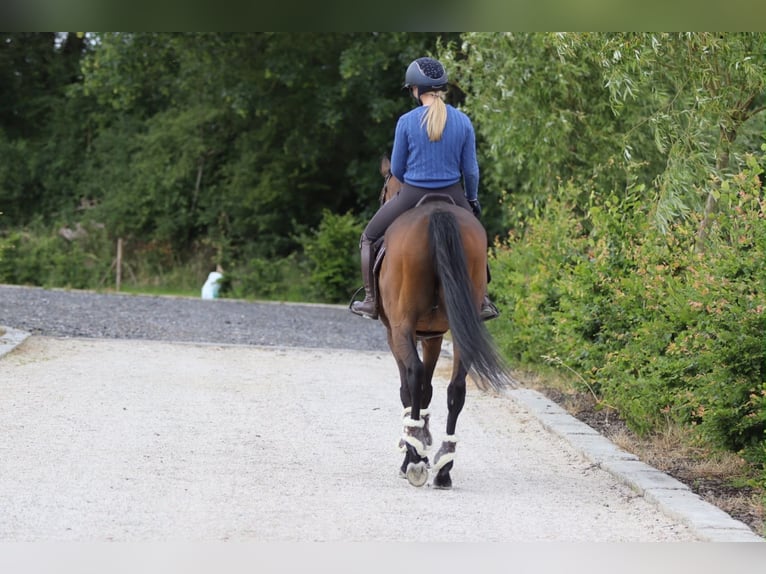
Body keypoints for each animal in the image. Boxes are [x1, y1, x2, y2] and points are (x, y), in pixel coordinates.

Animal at [374, 156, 513, 489]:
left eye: (384, 192)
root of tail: (437, 212)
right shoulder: (434, 335)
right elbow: (428, 389)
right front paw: (424, 443)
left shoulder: (395, 333)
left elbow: (410, 388)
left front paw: (416, 446)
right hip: (460, 329)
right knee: (456, 388)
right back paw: (444, 467)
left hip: (401, 328)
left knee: (413, 376)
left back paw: (413, 462)